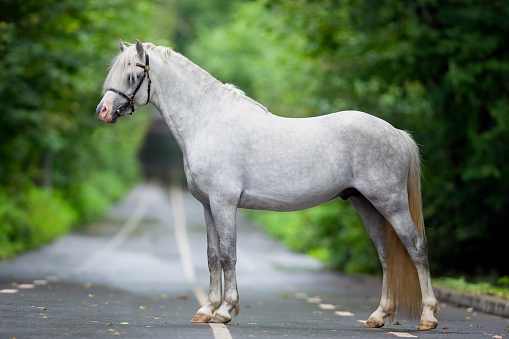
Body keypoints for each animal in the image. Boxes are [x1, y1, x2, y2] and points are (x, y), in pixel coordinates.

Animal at [96, 39, 440, 330]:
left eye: (132, 75)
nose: (103, 112)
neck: (208, 121)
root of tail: (396, 132)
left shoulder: (224, 203)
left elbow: (228, 254)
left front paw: (224, 311)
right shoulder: (207, 205)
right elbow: (211, 256)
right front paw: (206, 310)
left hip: (391, 203)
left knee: (416, 248)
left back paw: (428, 318)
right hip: (366, 204)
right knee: (386, 255)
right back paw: (378, 316)